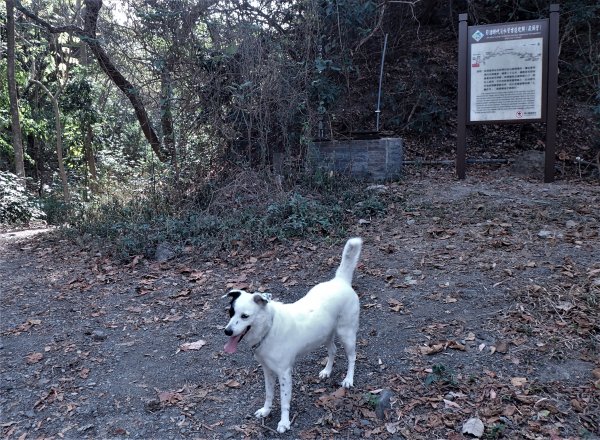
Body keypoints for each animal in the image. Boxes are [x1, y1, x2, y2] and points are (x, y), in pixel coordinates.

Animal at [224, 237, 360, 434]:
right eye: (230, 312)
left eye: (245, 316)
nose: (227, 331)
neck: (269, 328)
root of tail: (340, 281)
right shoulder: (267, 371)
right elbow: (269, 394)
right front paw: (266, 410)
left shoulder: (284, 374)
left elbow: (284, 401)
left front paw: (284, 422)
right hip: (325, 333)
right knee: (333, 350)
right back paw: (327, 371)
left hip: (346, 333)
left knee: (352, 357)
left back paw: (348, 379)